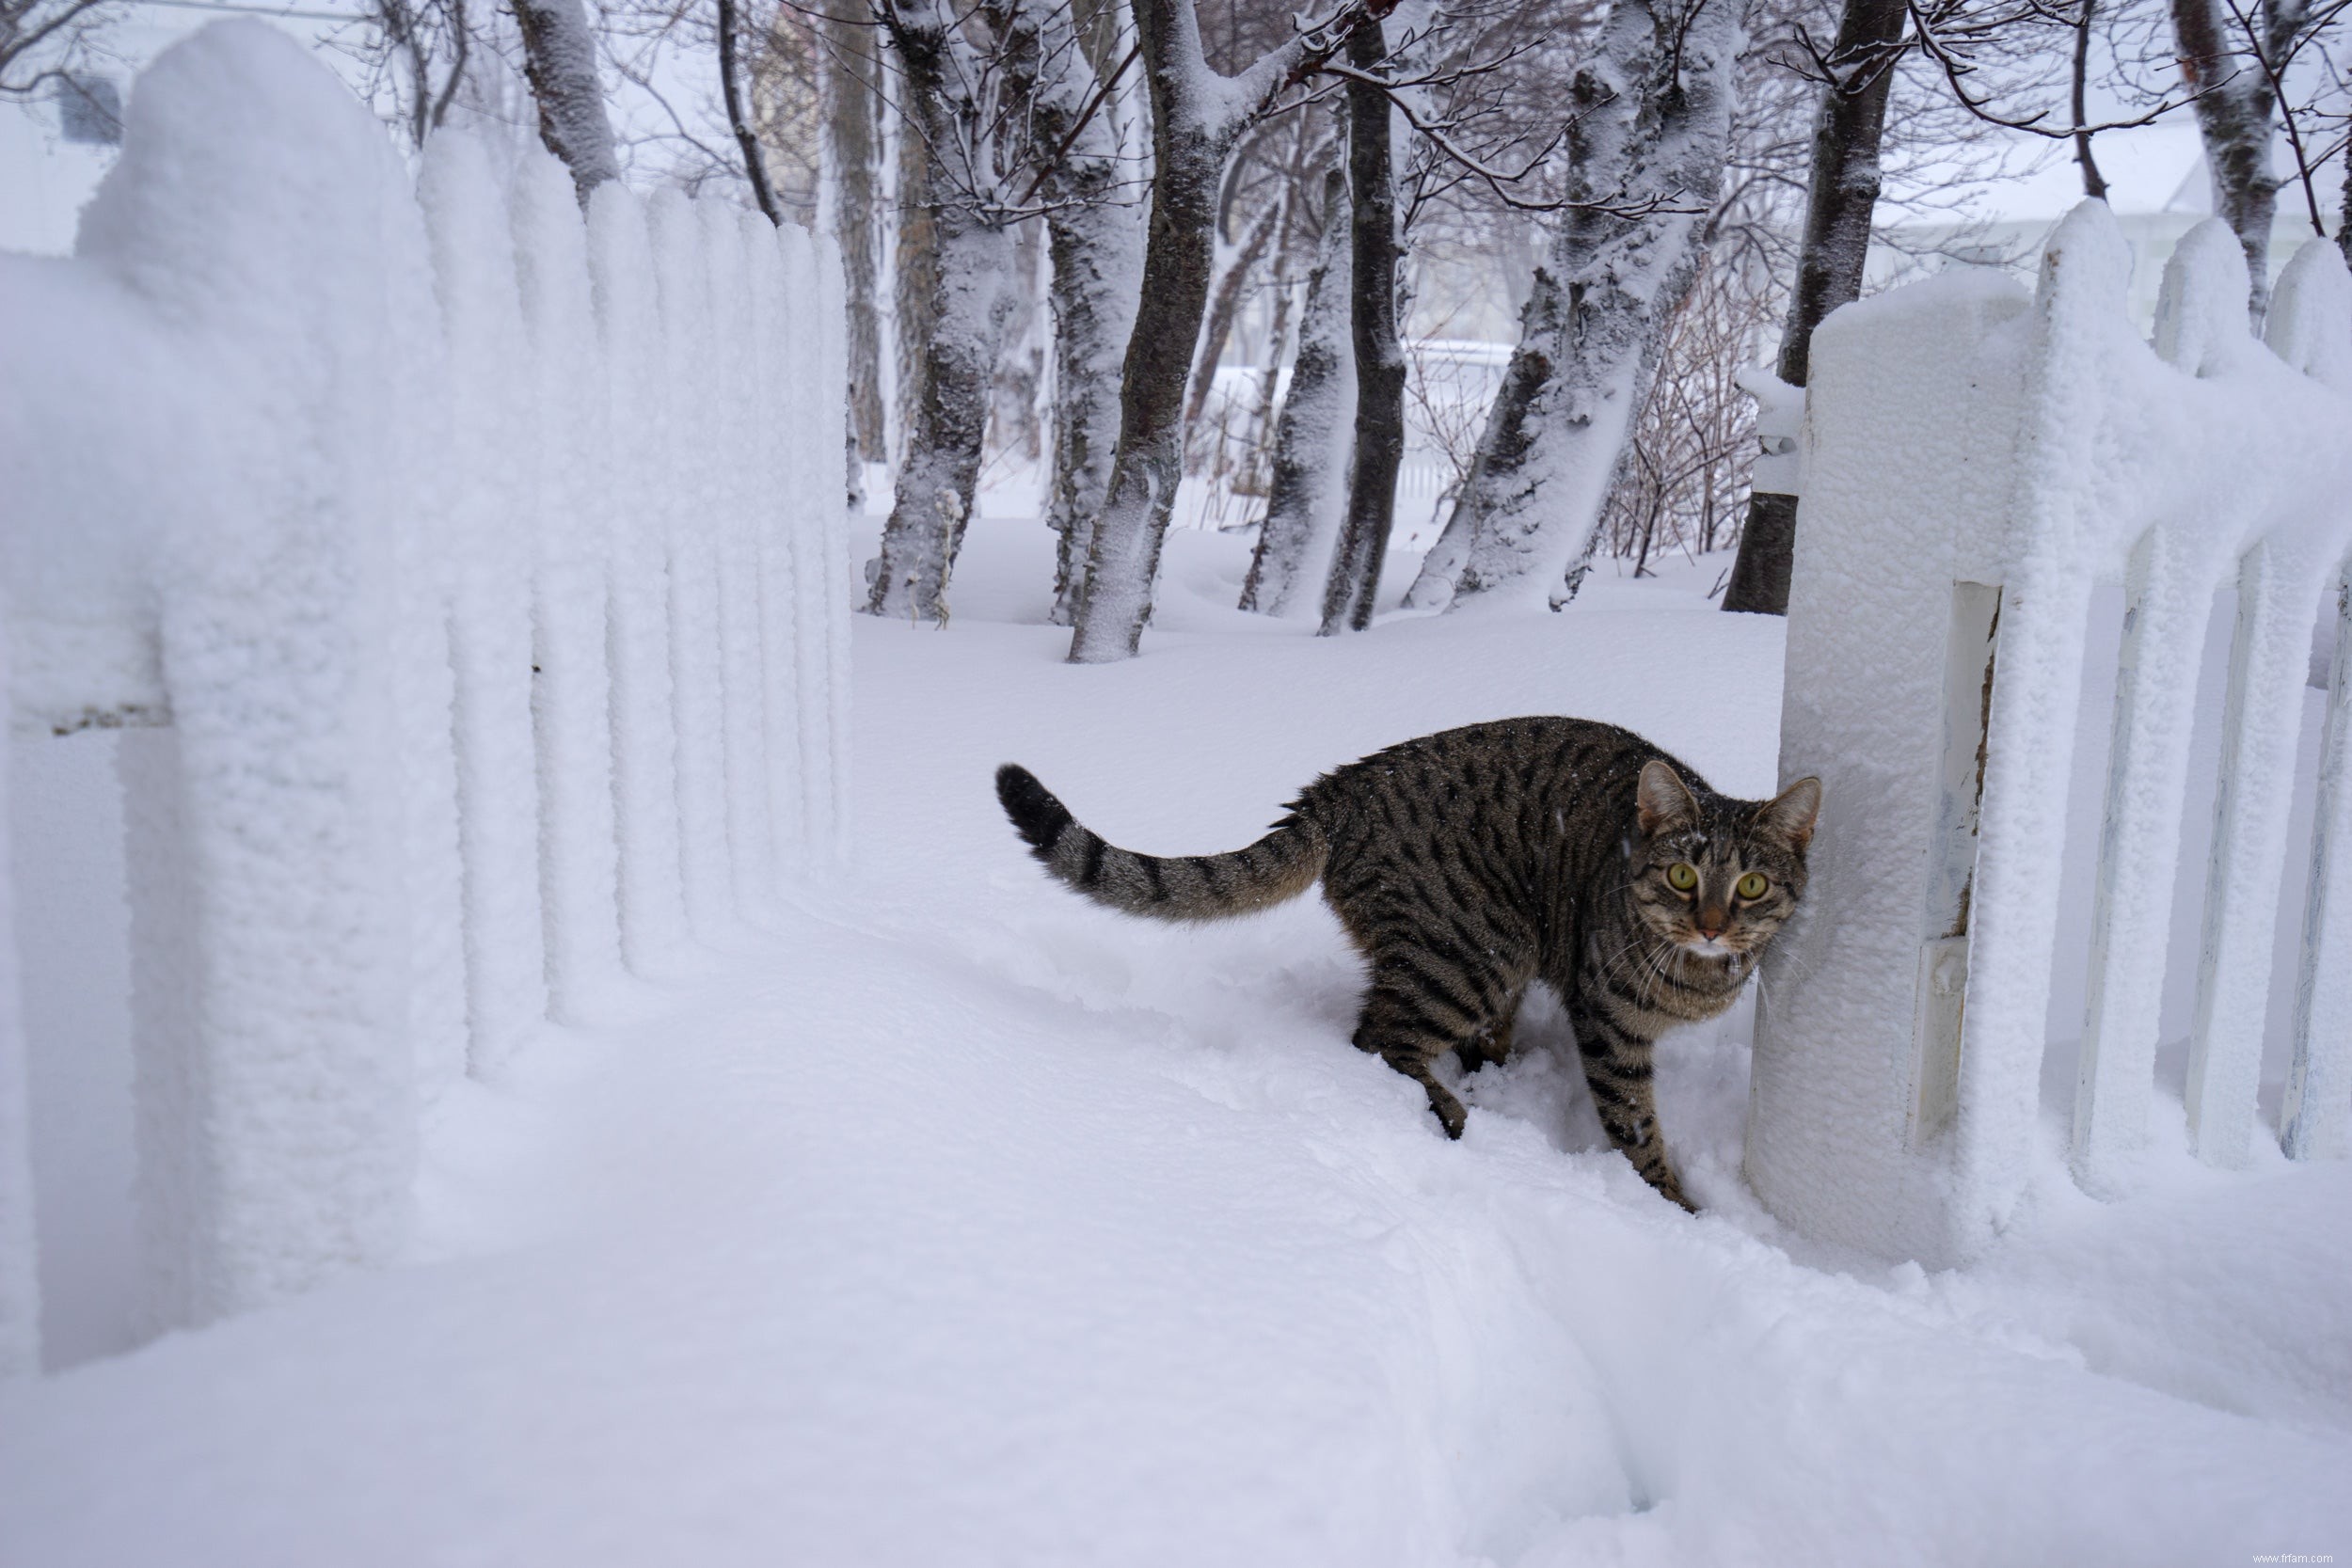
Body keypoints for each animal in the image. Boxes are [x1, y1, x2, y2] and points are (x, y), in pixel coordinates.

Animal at [993, 719, 1816, 1212]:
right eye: (1682, 876)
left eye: (1751, 885)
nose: (1712, 925)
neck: (1701, 974)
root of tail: (1337, 790)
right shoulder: (1611, 1025)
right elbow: (1635, 1124)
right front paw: (1677, 1209)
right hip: (1475, 951)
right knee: (1380, 1039)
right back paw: (1449, 1110)